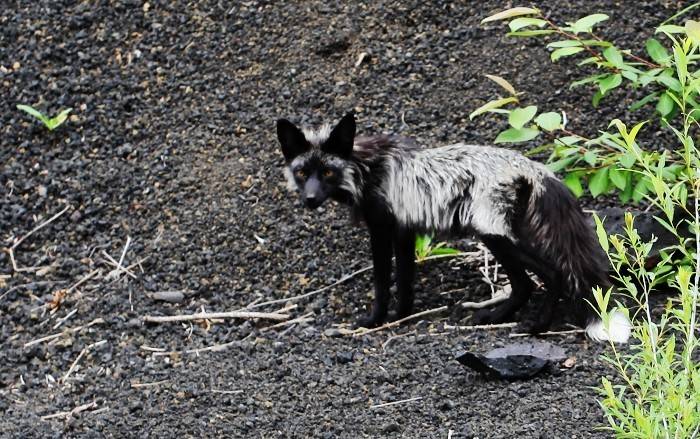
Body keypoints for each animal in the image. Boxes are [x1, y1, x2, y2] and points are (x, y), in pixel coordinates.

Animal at [276, 111, 632, 344]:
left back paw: (536, 327)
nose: (309, 200)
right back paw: (495, 318)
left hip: (494, 235)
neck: (366, 168)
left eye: (327, 172)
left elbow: (381, 281)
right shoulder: (404, 231)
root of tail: (536, 169)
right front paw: (401, 315)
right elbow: (405, 279)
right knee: (524, 284)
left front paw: (374, 321)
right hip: (500, 236)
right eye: (302, 172)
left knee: (549, 275)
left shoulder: (380, 229)